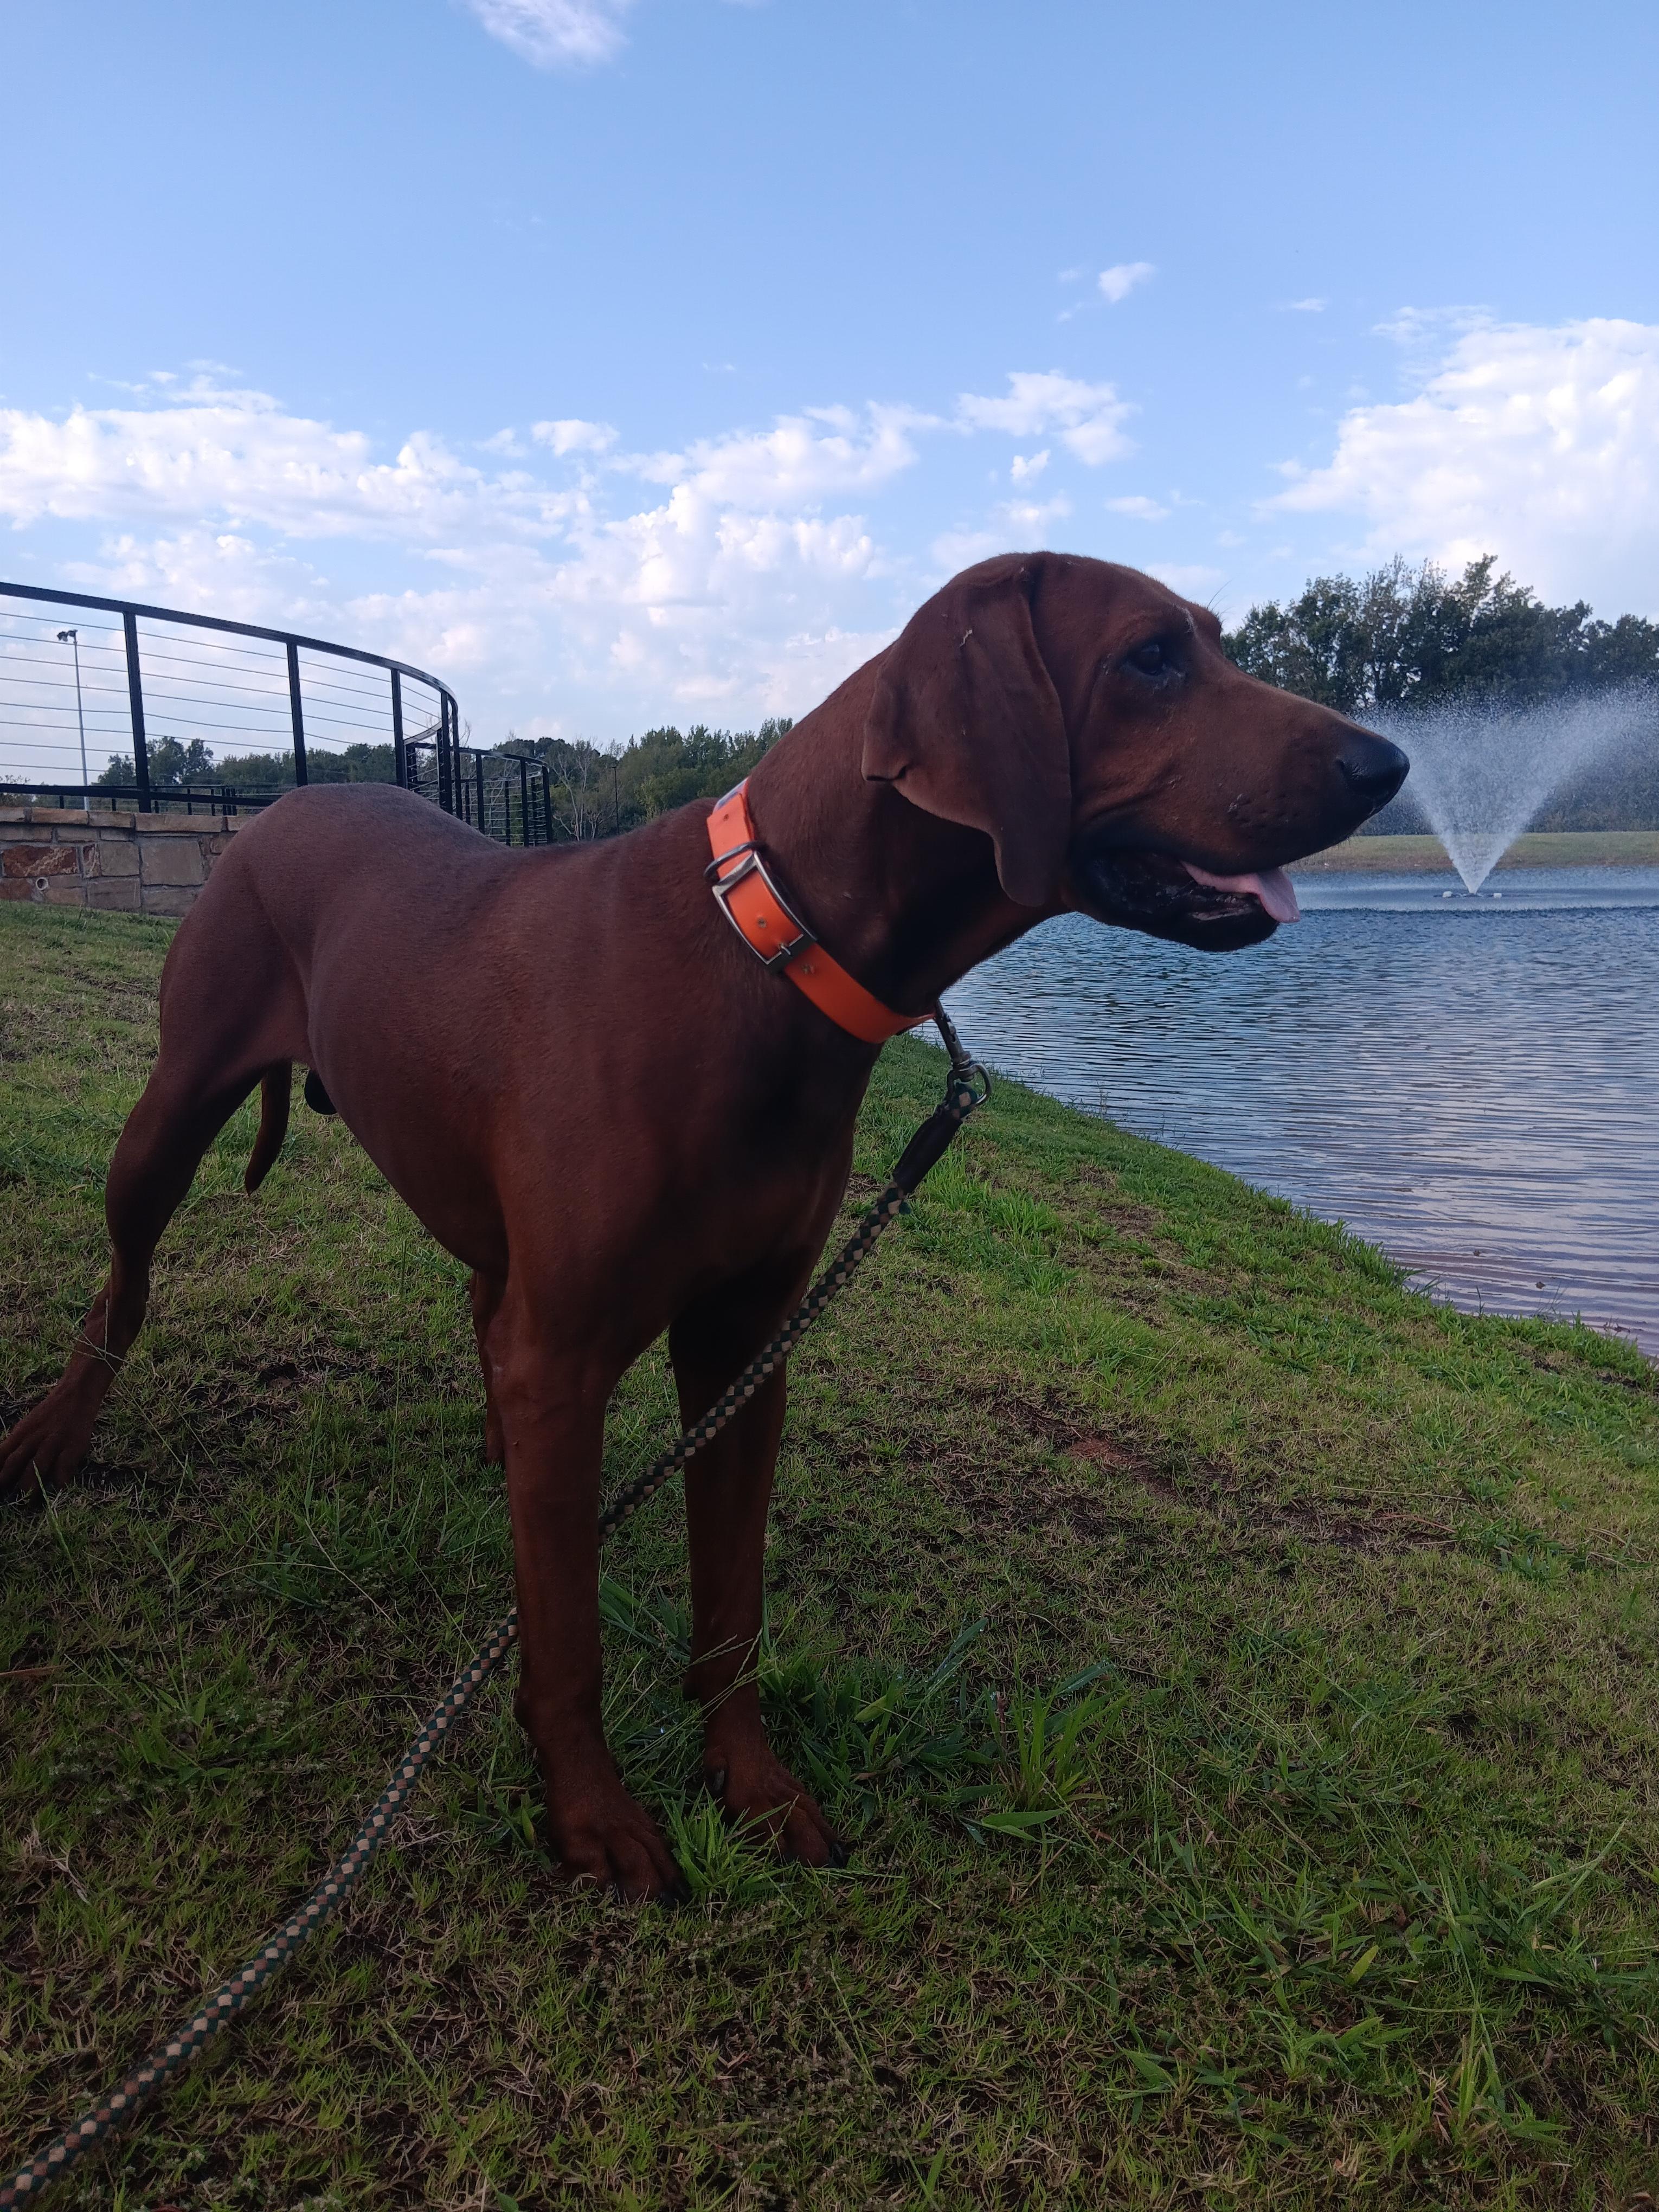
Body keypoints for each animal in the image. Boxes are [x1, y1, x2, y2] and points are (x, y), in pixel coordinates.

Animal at [1, 554, 1407, 1899]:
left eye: (1212, 641)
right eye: (1152, 657)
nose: (1387, 765)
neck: (769, 945)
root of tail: (286, 801)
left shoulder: (745, 1345)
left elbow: (730, 1602)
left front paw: (749, 1780)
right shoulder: (572, 1346)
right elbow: (565, 1627)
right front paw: (589, 1814)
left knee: (479, 1320)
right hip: (171, 1112)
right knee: (124, 1282)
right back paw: (57, 1432)